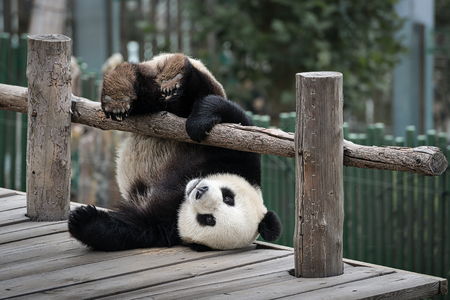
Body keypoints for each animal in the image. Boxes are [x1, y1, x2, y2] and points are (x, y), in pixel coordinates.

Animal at [68, 53, 282, 251]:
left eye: (208, 219)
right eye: (228, 197)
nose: (200, 190)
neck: (183, 190)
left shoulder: (167, 226)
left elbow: (133, 228)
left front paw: (82, 219)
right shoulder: (242, 160)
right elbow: (233, 117)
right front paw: (198, 124)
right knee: (187, 93)